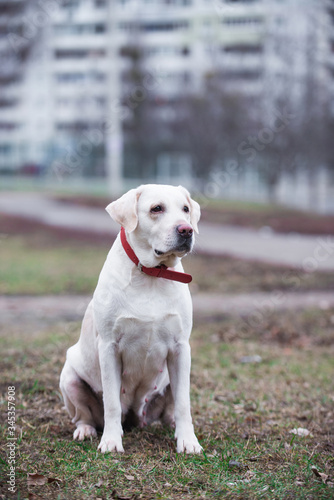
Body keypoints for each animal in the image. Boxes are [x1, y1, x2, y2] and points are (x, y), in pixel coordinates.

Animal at [59, 185, 202, 454]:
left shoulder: (180, 348)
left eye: (186, 209)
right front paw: (111, 441)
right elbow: (112, 403)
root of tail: (135, 417)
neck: (152, 275)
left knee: (170, 410)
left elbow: (183, 403)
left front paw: (188, 441)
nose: (186, 230)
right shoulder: (109, 347)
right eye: (156, 208)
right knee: (84, 415)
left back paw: (171, 426)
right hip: (70, 378)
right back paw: (86, 430)